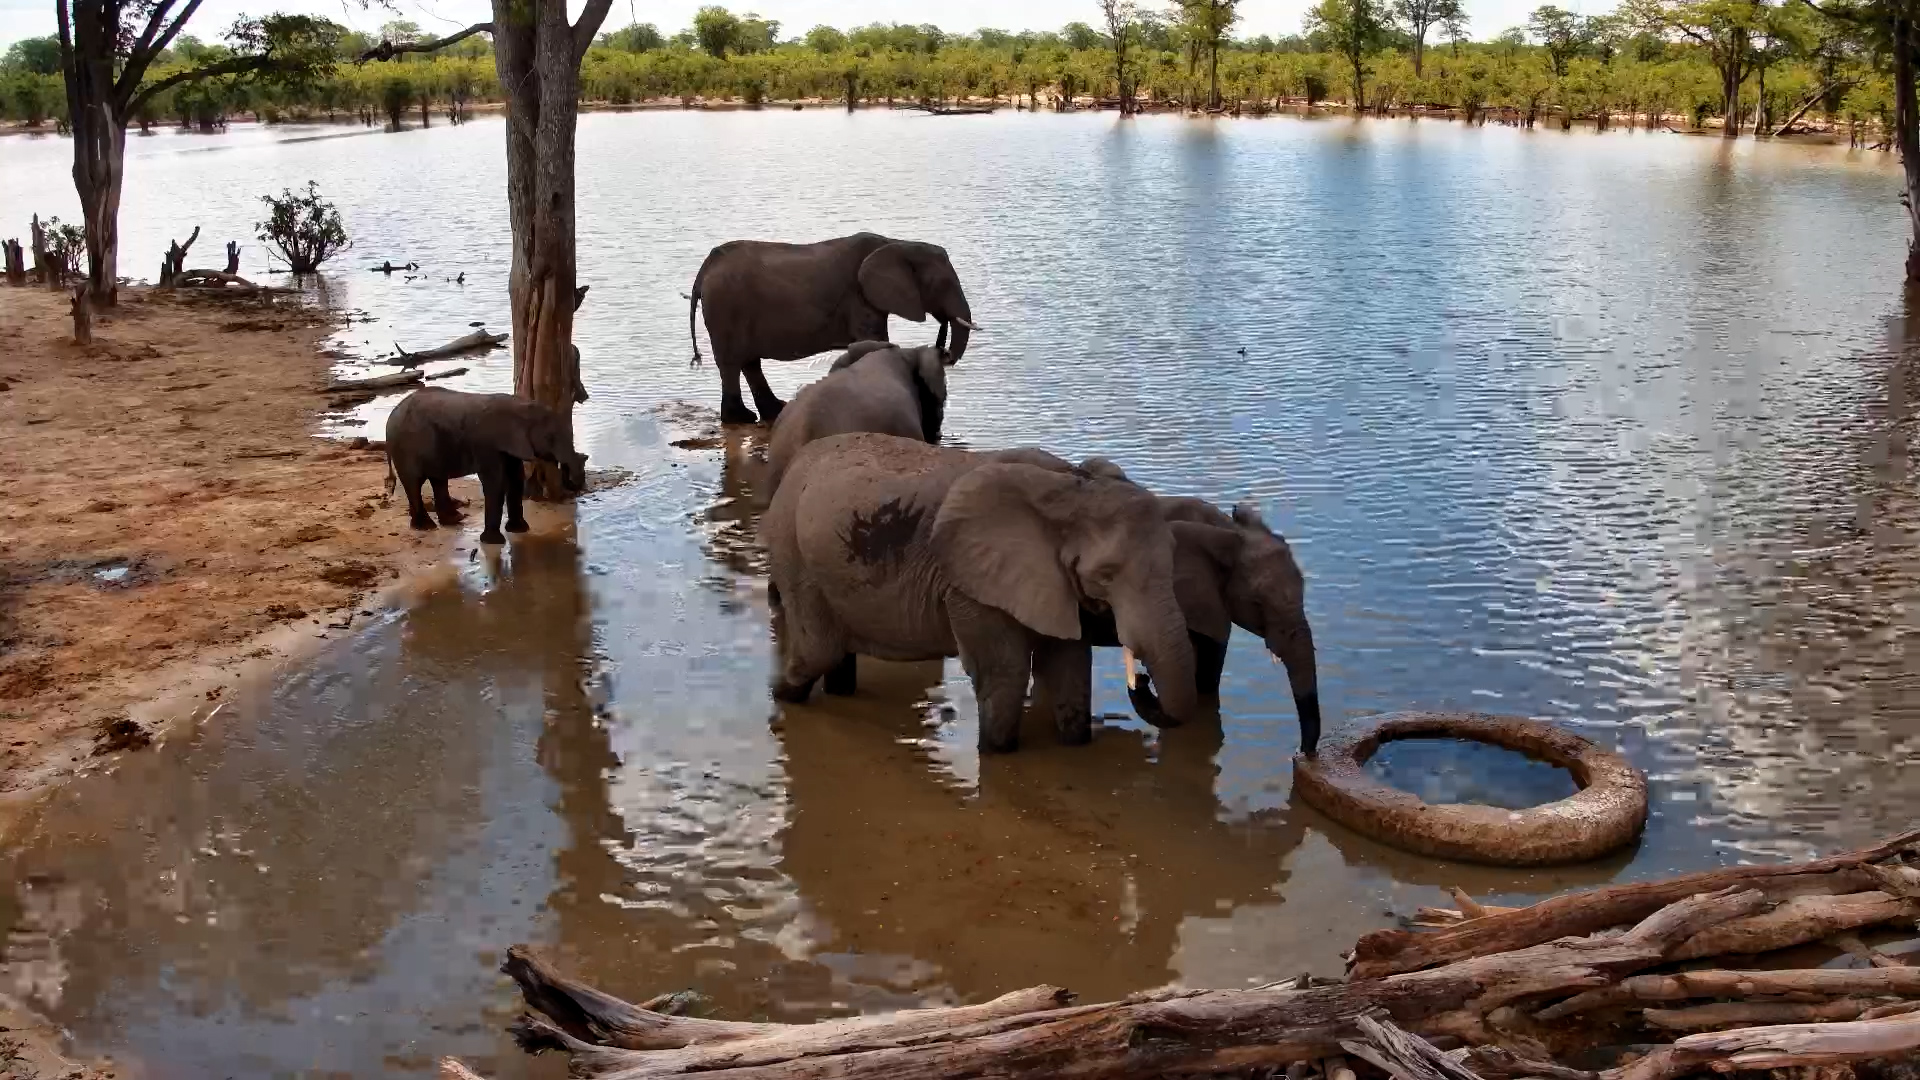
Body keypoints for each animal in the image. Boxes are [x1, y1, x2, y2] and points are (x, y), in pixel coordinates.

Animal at [383, 387, 588, 545]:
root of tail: (391, 415)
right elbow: (495, 482)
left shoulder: (510, 446)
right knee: (414, 482)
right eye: (550, 438)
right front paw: (494, 542)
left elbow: (515, 478)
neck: (520, 406)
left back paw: (453, 520)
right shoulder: (487, 446)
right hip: (405, 447)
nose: (567, 468)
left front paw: (519, 530)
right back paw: (426, 527)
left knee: (437, 479)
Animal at [686, 232, 979, 426]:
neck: (898, 243)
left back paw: (774, 411)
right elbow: (876, 340)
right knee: (732, 363)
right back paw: (741, 418)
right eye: (942, 284)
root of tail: (705, 267)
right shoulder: (859, 296)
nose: (944, 353)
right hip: (725, 306)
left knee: (749, 362)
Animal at [761, 432, 1203, 753]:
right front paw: (997, 752)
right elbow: (1005, 672)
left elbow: (1069, 663)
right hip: (791, 546)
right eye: (1106, 575)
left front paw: (1074, 744)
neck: (1071, 487)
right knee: (819, 648)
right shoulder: (969, 585)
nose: (1141, 680)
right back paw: (781, 694)